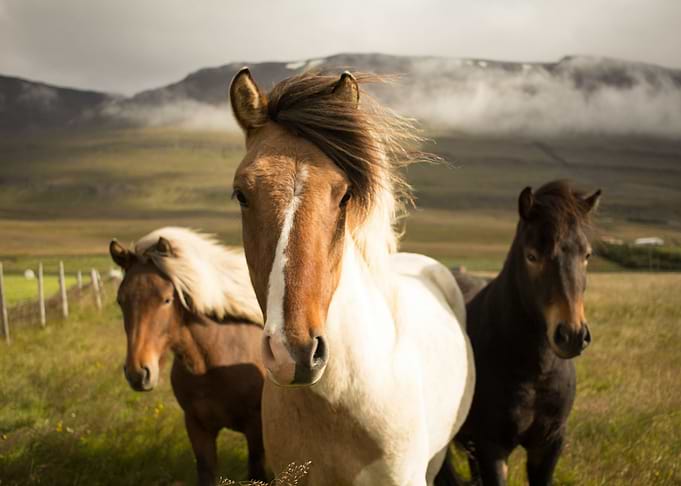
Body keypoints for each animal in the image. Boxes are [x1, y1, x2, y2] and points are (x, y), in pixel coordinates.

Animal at [455, 181, 601, 485]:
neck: (535, 371)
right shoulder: (491, 447)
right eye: (532, 256)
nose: (572, 335)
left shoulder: (549, 445)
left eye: (587, 255)